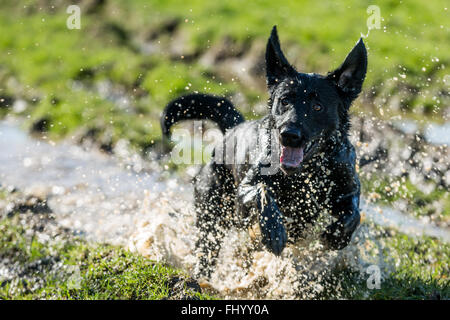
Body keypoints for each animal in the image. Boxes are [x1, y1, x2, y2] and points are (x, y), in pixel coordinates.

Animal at [161, 26, 366, 278]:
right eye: (284, 101)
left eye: (318, 107)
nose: (289, 134)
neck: (306, 174)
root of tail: (233, 129)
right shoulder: (244, 192)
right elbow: (262, 190)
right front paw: (273, 232)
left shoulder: (346, 189)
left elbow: (353, 213)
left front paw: (337, 236)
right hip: (211, 212)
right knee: (207, 249)